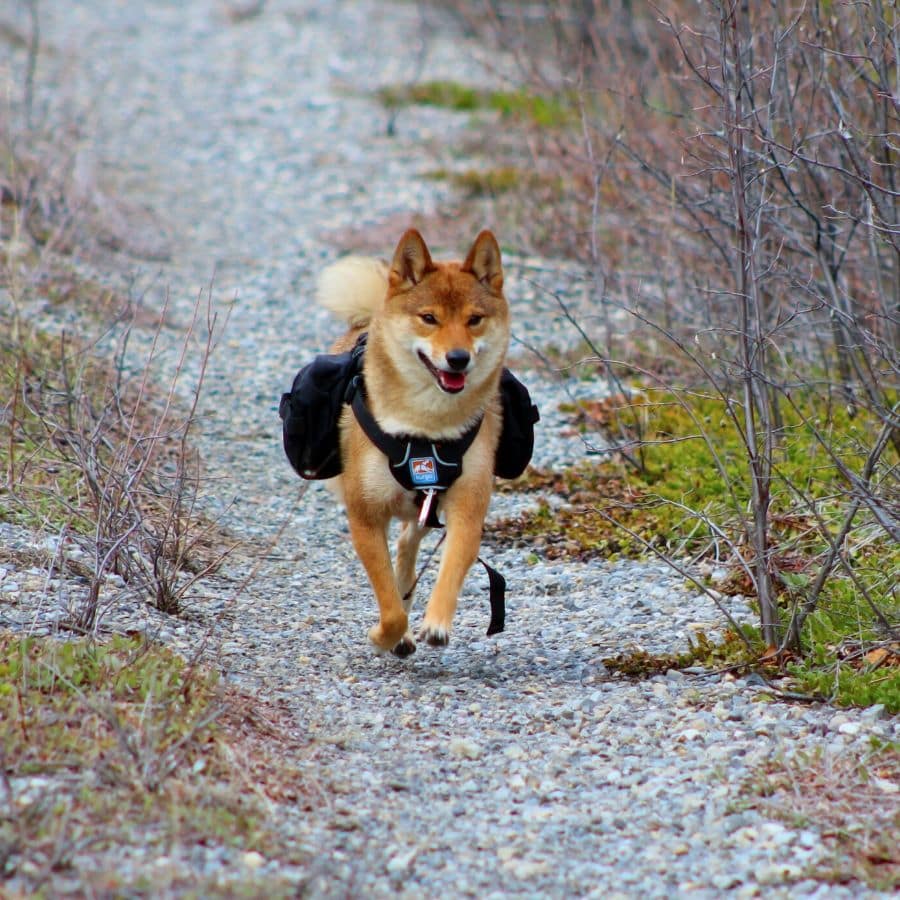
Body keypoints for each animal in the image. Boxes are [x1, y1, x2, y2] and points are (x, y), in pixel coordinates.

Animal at [320, 229, 510, 656]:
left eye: (474, 320)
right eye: (429, 318)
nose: (457, 358)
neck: (427, 428)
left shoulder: (468, 508)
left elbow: (451, 571)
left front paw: (436, 623)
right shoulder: (365, 515)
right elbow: (389, 605)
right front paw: (385, 635)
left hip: (427, 508)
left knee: (408, 546)